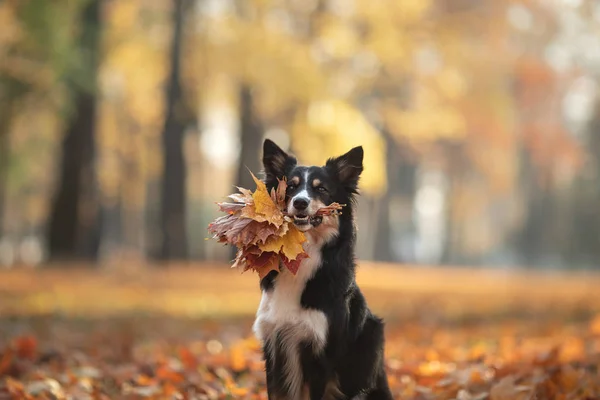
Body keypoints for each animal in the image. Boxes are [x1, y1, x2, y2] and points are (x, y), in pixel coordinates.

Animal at [253, 138, 394, 400]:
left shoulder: (320, 354)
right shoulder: (274, 348)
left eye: (321, 190)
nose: (300, 202)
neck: (301, 255)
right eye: (290, 187)